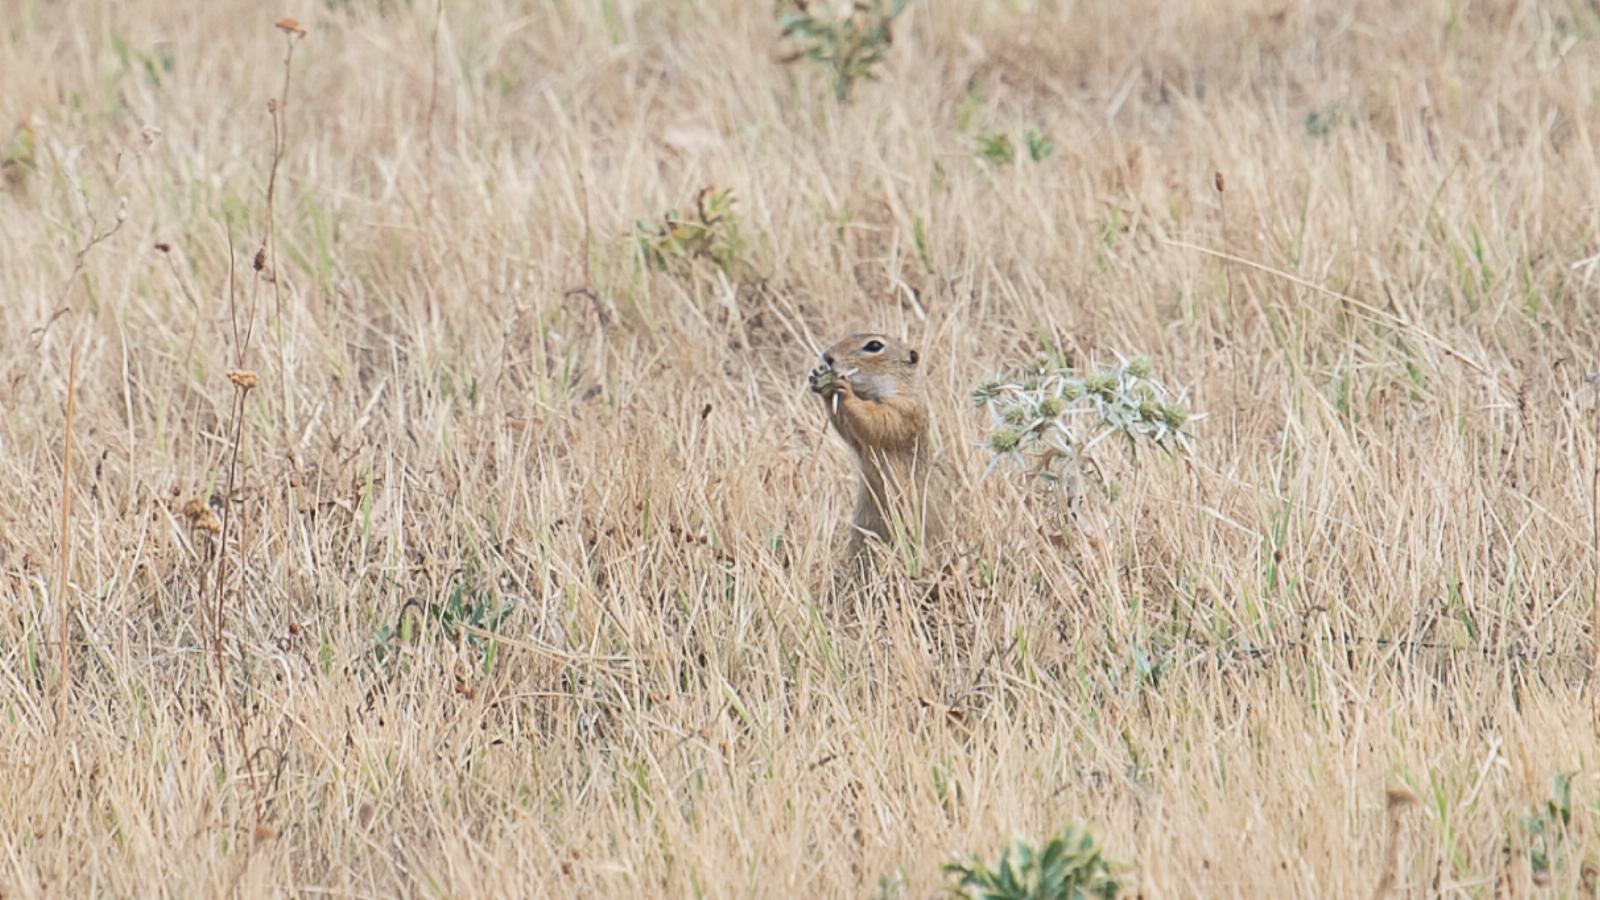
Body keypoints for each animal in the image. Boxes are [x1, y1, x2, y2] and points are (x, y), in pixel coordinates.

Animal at [806, 333, 940, 563]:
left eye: (874, 345)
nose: (827, 356)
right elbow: (848, 430)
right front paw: (822, 383)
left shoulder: (902, 409)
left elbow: (875, 421)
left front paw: (844, 390)